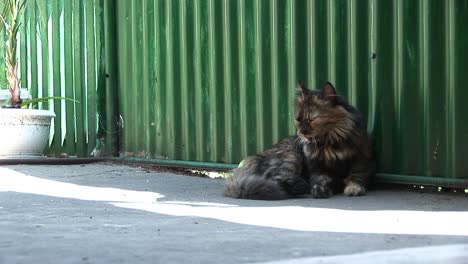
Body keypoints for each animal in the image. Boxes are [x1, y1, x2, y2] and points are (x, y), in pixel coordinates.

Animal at [225, 81, 374, 199]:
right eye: (298, 119)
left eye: (311, 119)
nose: (301, 132)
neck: (329, 142)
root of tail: (256, 157)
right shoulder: (318, 168)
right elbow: (320, 180)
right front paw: (319, 190)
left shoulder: (360, 160)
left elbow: (355, 177)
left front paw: (353, 188)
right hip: (291, 157)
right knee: (276, 180)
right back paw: (300, 186)